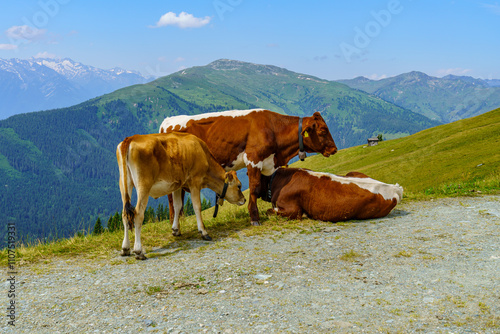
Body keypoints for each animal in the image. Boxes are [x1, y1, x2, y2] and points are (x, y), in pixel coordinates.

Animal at [117, 132, 250, 260]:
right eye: (239, 186)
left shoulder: (177, 185)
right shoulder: (195, 182)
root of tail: (131, 138)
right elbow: (197, 206)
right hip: (144, 184)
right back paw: (139, 251)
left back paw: (125, 249)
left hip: (124, 183)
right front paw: (204, 232)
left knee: (124, 214)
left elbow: (177, 206)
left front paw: (175, 230)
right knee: (138, 214)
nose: (244, 199)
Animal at [160, 108, 338, 226]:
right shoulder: (253, 160)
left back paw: (181, 220)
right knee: (171, 196)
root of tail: (167, 122)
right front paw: (254, 218)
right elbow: (254, 188)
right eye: (323, 131)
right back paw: (174, 221)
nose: (334, 149)